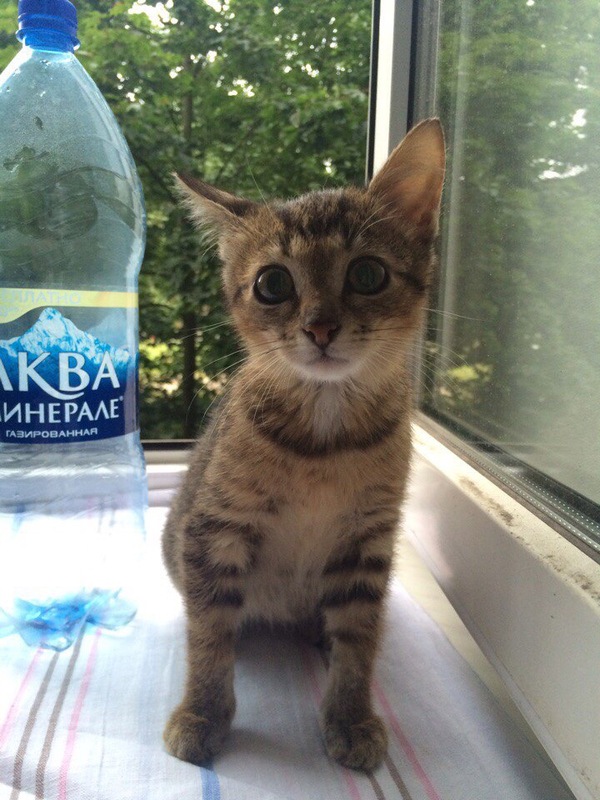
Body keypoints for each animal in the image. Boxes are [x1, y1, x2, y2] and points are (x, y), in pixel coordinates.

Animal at [162, 118, 445, 772]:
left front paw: (350, 716)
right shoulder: (214, 530)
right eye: (273, 284)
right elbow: (209, 634)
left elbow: (359, 639)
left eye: (367, 274)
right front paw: (202, 712)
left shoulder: (367, 541)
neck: (325, 436)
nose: (320, 327)